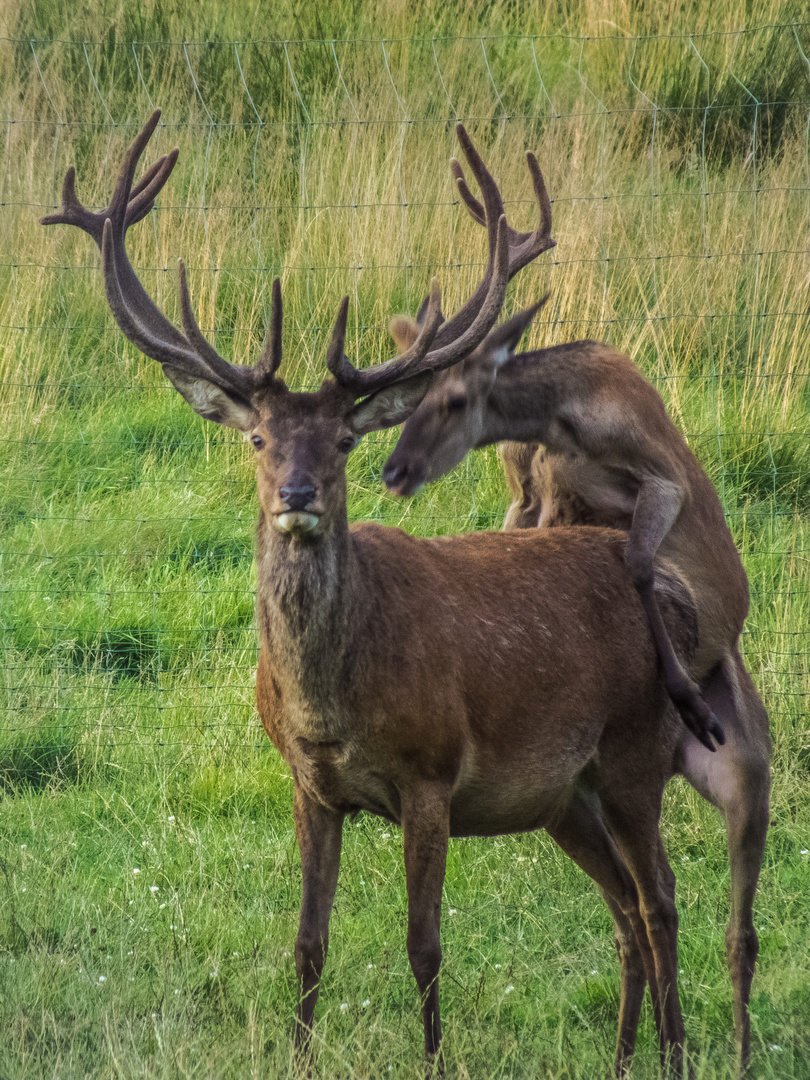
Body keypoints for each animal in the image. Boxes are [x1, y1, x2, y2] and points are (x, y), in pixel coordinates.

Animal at [42, 111, 699, 1080]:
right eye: (258, 439)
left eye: (344, 442)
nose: (298, 494)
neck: (330, 705)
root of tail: (674, 600)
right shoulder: (309, 785)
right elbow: (308, 941)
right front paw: (298, 1055)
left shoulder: (432, 775)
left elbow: (424, 943)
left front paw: (430, 1058)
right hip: (566, 795)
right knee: (624, 911)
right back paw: (624, 1057)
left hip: (635, 748)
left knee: (661, 901)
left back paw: (678, 1051)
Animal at [384, 130, 768, 1067]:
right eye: (404, 397)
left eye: (455, 397)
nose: (396, 469)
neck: (561, 419)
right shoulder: (537, 497)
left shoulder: (657, 477)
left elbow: (635, 557)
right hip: (595, 796)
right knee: (649, 909)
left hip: (752, 779)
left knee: (737, 929)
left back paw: (738, 1048)